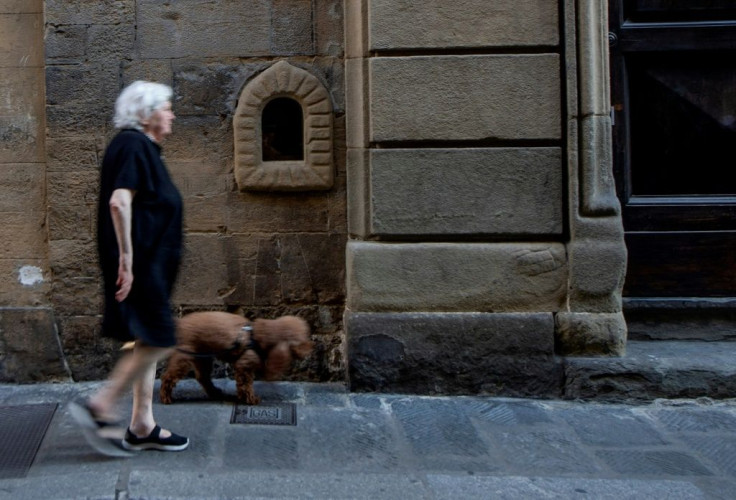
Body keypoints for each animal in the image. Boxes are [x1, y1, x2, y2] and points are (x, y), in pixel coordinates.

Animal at [160, 310, 312, 404]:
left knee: (203, 378)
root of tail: (179, 324)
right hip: (184, 357)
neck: (261, 336)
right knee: (168, 377)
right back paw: (166, 397)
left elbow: (243, 385)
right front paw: (251, 399)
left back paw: (215, 393)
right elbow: (245, 385)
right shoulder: (244, 366)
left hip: (203, 357)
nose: (311, 347)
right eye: (302, 341)